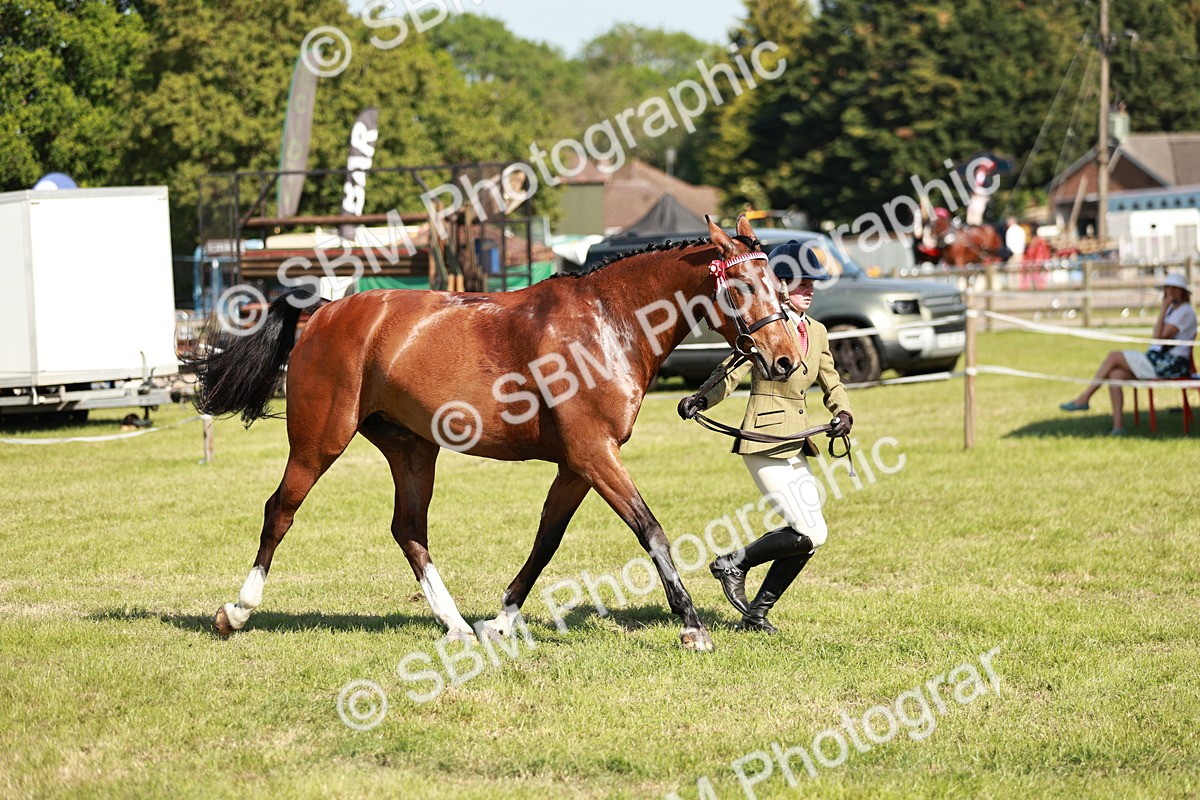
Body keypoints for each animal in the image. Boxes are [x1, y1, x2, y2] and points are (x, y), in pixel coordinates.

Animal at [189, 216, 803, 652]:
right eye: (741, 286)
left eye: (777, 281)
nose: (786, 359)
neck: (608, 322)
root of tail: (324, 312)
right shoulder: (594, 454)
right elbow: (650, 530)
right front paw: (692, 625)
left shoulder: (577, 464)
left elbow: (546, 541)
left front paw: (501, 622)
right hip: (319, 441)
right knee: (280, 511)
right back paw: (236, 612)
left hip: (412, 449)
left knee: (408, 529)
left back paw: (457, 624)